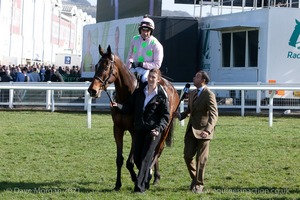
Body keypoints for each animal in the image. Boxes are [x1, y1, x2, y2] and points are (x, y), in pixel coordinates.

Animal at [88, 45, 179, 191]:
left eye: (107, 66)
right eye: (96, 66)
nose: (92, 90)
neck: (127, 96)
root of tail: (172, 88)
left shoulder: (135, 130)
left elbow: (130, 161)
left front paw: (136, 178)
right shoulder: (118, 129)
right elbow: (119, 159)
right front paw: (118, 184)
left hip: (165, 126)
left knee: (158, 149)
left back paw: (153, 174)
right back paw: (154, 176)